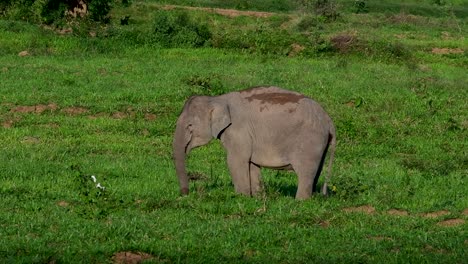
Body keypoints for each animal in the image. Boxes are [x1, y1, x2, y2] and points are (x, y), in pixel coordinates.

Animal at [172, 86, 336, 200]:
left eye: (190, 126)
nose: (185, 194)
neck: (217, 99)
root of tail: (329, 120)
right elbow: (251, 163)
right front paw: (256, 197)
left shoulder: (238, 130)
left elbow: (235, 161)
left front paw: (241, 197)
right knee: (316, 171)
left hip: (309, 141)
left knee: (305, 172)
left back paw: (300, 201)